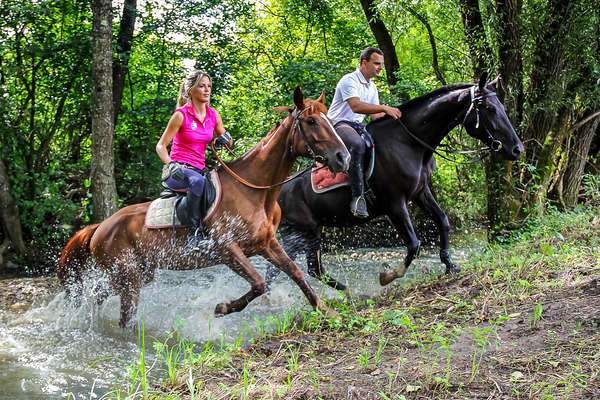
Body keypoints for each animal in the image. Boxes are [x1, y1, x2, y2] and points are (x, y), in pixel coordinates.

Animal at [58, 88, 350, 328]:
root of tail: (99, 228)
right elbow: (258, 283)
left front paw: (327, 311)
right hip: (128, 277)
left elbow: (296, 273)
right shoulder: (227, 249)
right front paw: (223, 308)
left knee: (97, 295)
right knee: (124, 317)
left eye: (328, 119)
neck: (254, 191)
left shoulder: (267, 243)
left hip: (137, 273)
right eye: (312, 121)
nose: (343, 158)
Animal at [264, 75, 524, 292]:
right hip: (302, 232)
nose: (517, 149)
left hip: (304, 232)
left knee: (301, 269)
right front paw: (388, 276)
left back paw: (347, 295)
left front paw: (450, 265)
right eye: (489, 108)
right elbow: (414, 244)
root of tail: (275, 189)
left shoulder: (421, 192)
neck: (408, 142)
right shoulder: (395, 204)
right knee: (291, 271)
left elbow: (443, 221)